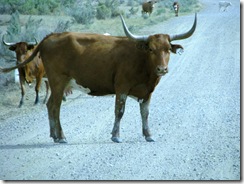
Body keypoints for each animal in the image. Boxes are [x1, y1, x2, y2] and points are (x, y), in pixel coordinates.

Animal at [0, 14, 197, 144]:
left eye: (167, 49)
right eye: (150, 49)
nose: (162, 69)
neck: (142, 62)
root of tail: (52, 36)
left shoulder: (147, 92)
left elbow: (145, 113)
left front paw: (148, 135)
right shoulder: (122, 88)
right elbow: (119, 112)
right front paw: (116, 136)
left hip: (60, 84)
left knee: (50, 106)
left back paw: (54, 136)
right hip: (57, 81)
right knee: (55, 107)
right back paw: (61, 137)